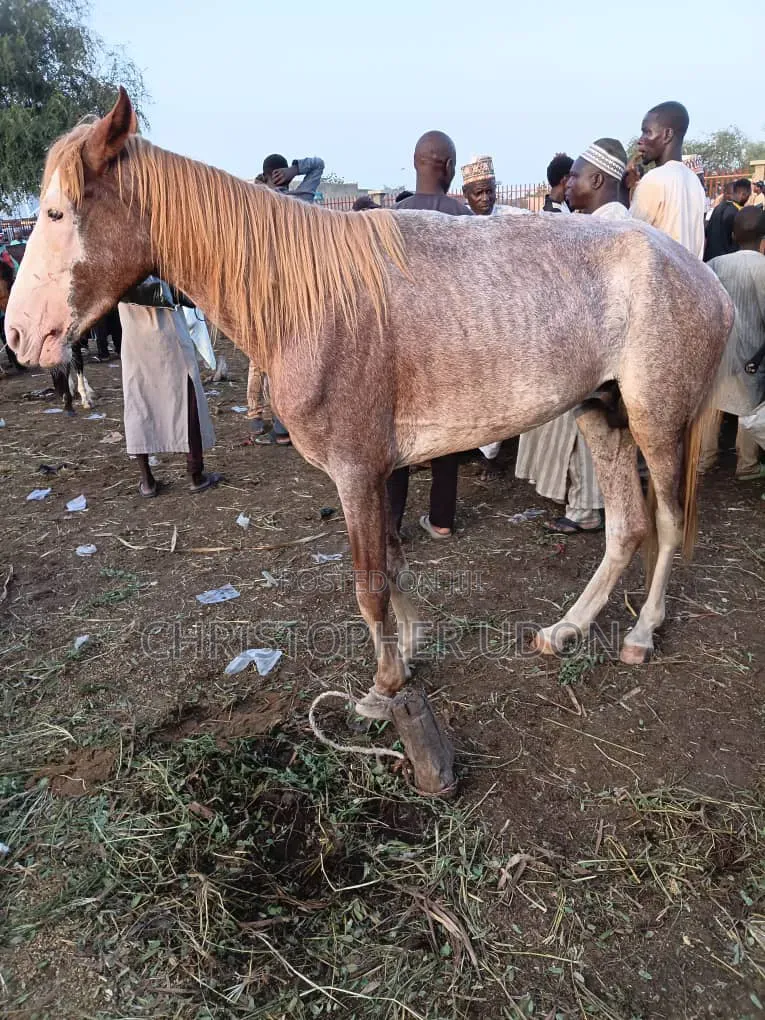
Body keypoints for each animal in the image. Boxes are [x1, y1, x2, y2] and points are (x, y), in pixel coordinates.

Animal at [5, 89, 734, 724]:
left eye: (56, 214)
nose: (17, 335)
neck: (308, 299)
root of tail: (703, 277)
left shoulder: (356, 472)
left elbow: (369, 581)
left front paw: (385, 685)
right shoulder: (380, 471)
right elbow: (392, 560)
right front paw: (408, 649)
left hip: (656, 424)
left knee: (665, 525)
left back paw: (642, 633)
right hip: (600, 413)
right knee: (624, 529)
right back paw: (567, 628)